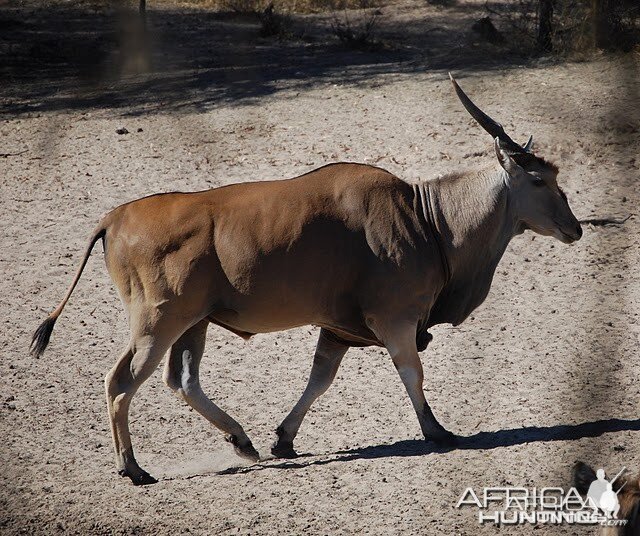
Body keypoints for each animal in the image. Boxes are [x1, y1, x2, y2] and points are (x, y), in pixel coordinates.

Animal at [32, 74, 584, 486]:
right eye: (540, 180)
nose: (575, 229)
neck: (425, 217)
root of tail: (114, 218)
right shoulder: (396, 319)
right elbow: (412, 373)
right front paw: (437, 430)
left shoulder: (337, 330)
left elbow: (319, 379)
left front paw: (283, 439)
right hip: (158, 323)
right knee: (121, 382)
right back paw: (133, 469)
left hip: (194, 322)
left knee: (182, 379)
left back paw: (243, 441)